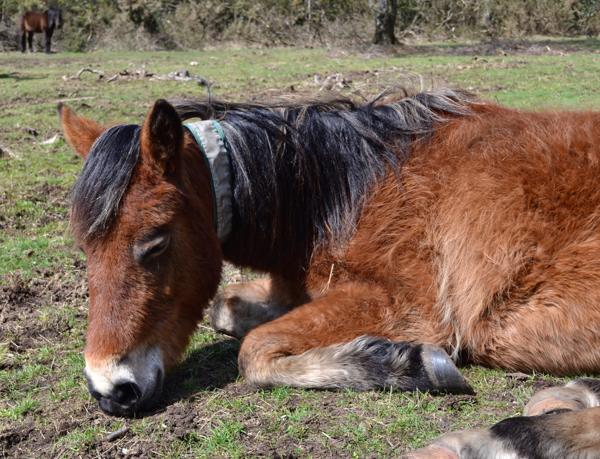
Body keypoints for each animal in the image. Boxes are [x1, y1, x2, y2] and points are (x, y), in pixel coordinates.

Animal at [57, 85, 600, 456]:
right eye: (84, 247)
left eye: (156, 241)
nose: (110, 391)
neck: (350, 190)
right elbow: (225, 309)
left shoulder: (405, 305)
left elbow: (254, 353)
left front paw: (405, 364)